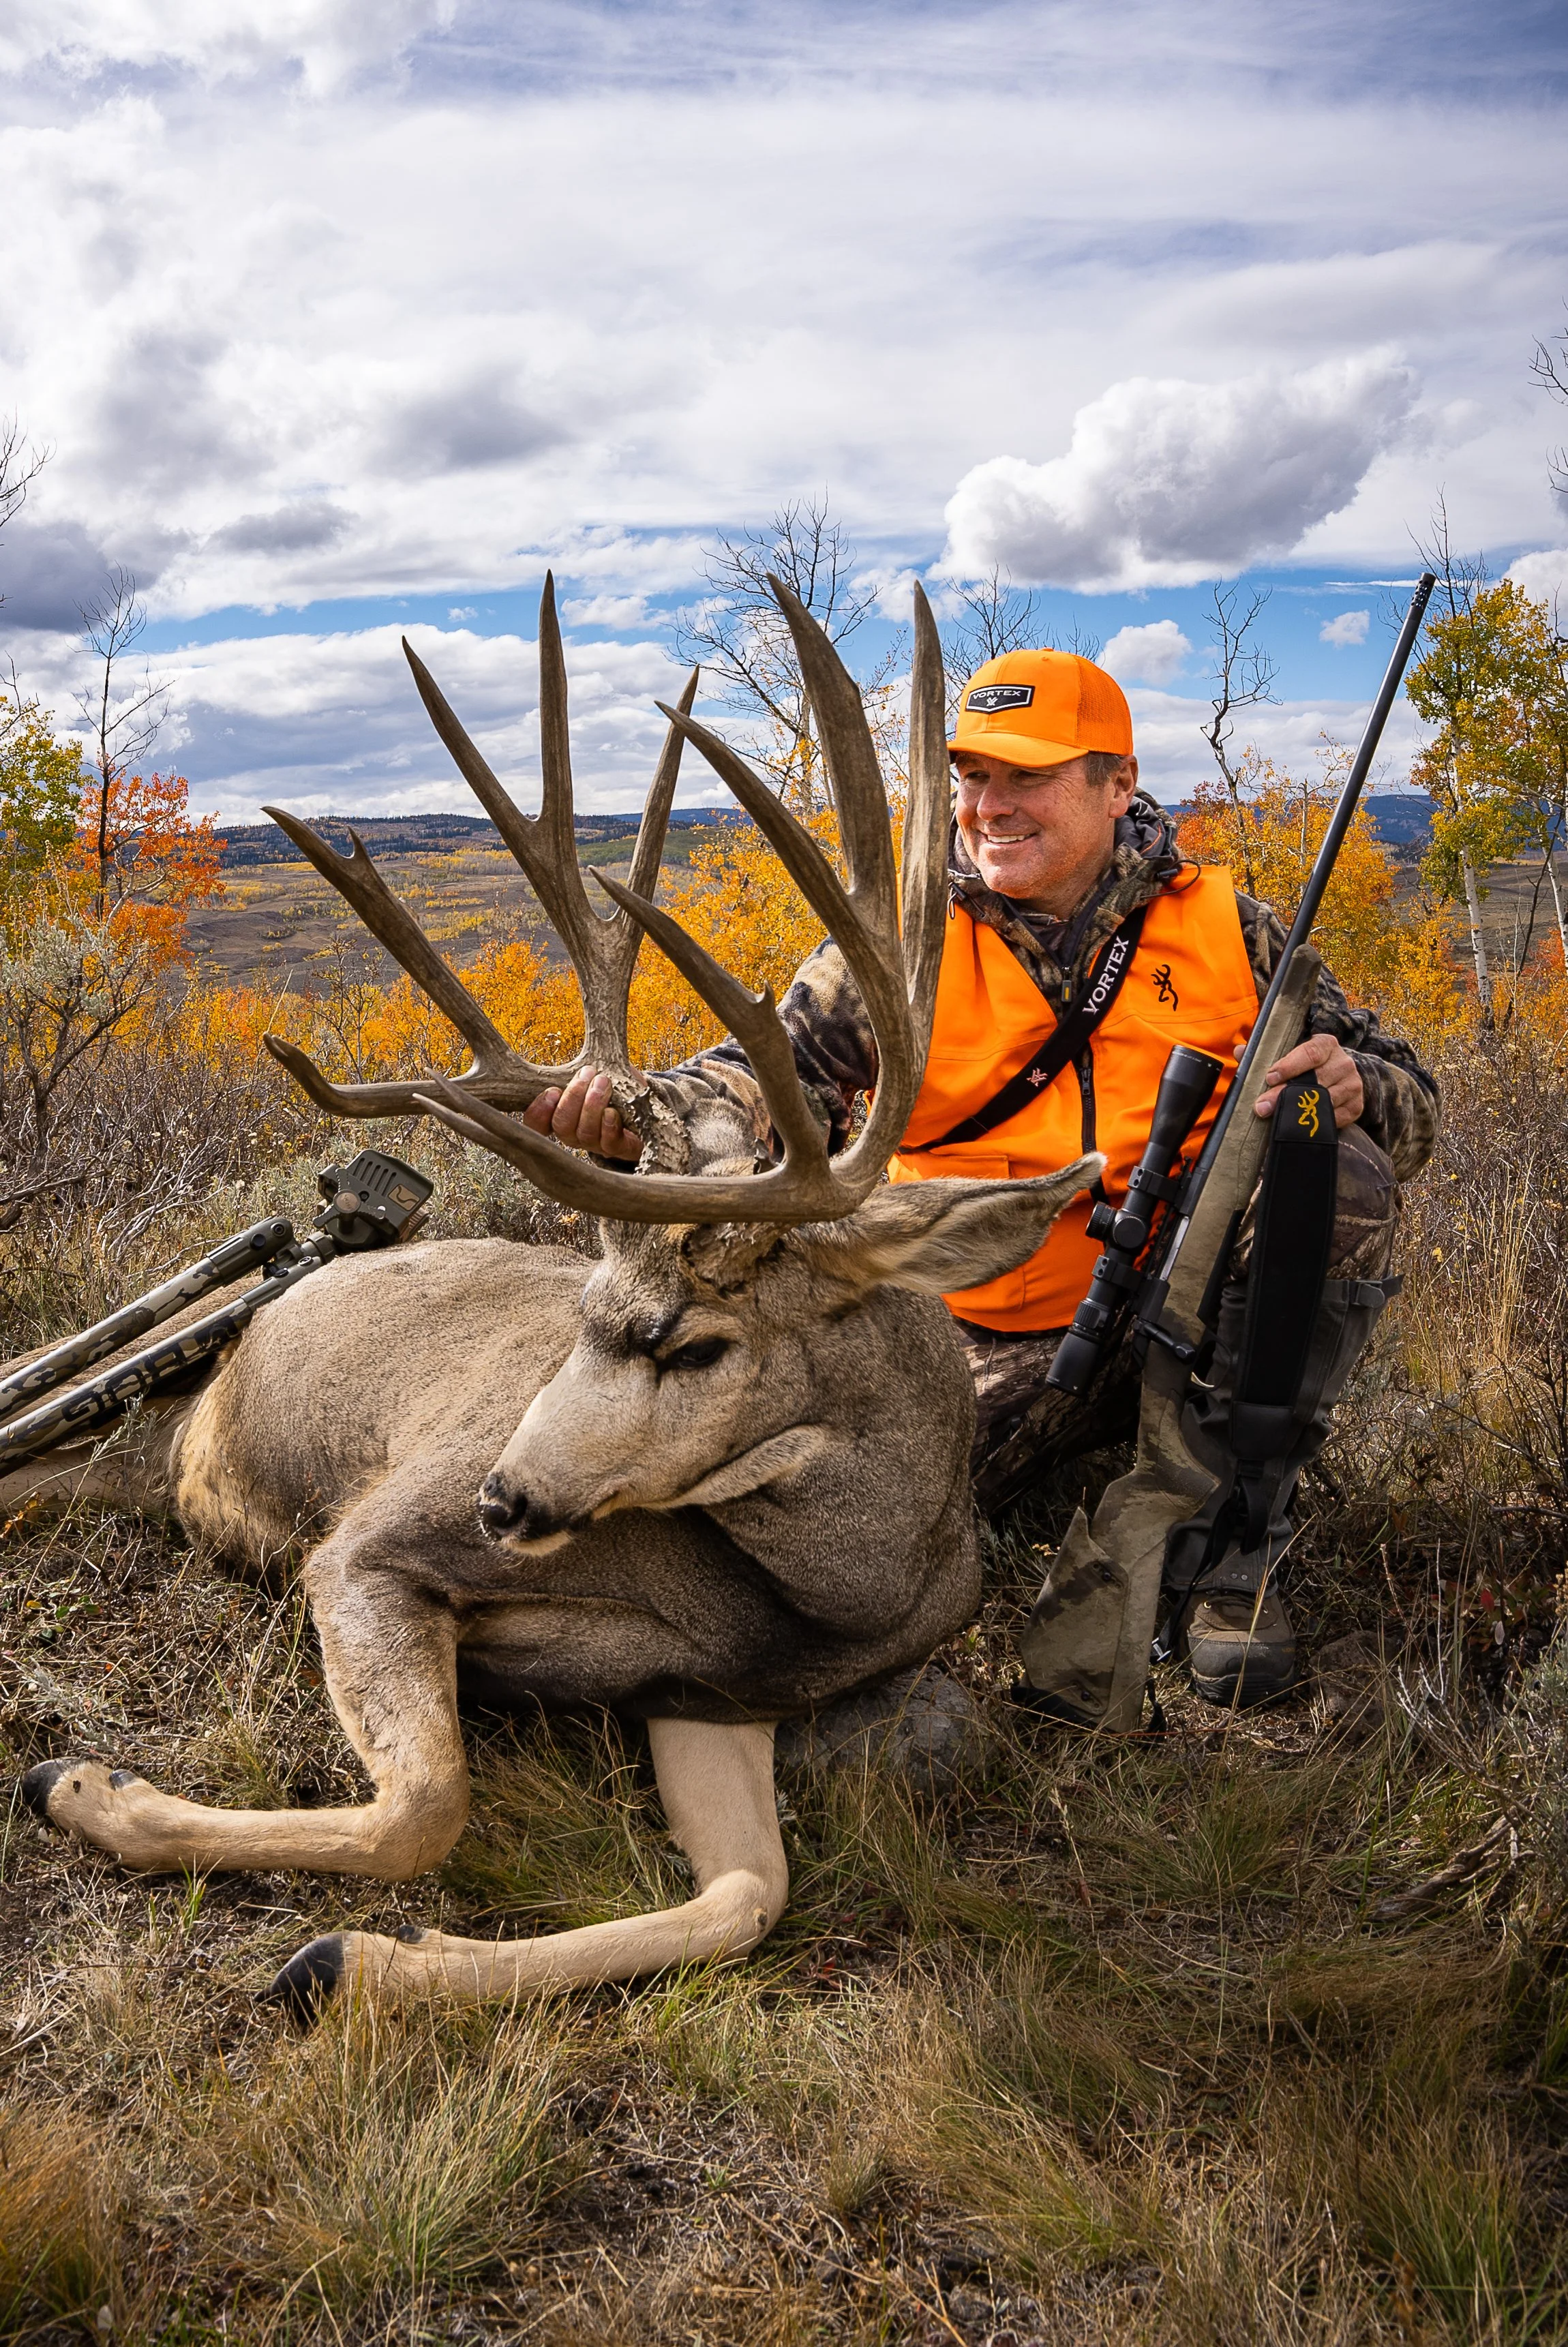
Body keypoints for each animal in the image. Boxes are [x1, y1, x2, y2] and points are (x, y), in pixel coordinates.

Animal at [9, 577, 1097, 2015]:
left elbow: (746, 1898)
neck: (830, 1595)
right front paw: (81, 1785)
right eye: (583, 1307)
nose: (504, 1496)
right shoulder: (365, 1542)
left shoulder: (704, 1701)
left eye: (695, 1344)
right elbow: (426, 1805)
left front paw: (353, 1960)